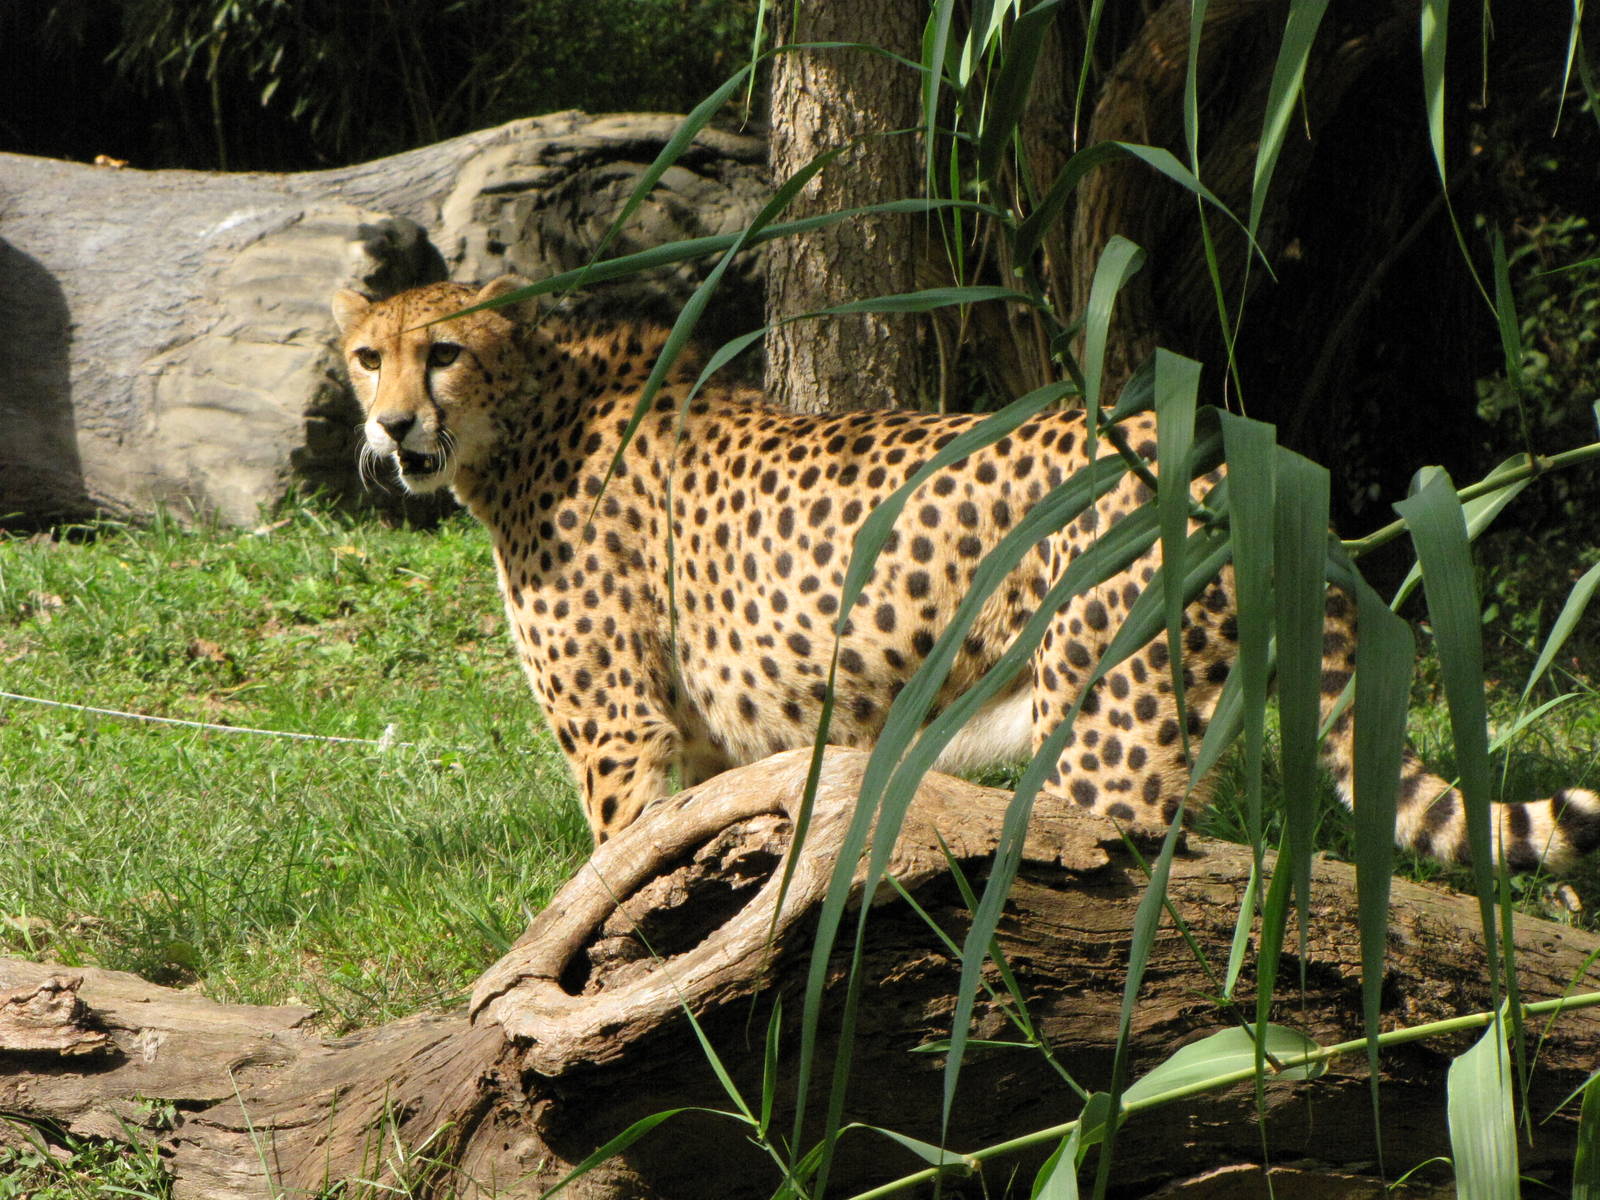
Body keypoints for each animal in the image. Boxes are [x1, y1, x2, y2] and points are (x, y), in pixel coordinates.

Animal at [331, 275, 1600, 871]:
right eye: (362, 358)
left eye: (442, 353)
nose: (391, 429)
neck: (524, 417)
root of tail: (1234, 454)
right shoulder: (695, 746)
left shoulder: (622, 733)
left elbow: (607, 875)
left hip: (1111, 744)